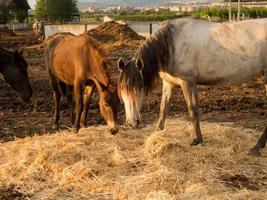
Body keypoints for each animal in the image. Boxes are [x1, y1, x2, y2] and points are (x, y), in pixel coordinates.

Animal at [118, 18, 267, 156]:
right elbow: (163, 109)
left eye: (139, 87)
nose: (132, 123)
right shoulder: (168, 84)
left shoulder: (187, 81)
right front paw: (157, 133)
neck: (171, 43)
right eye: (122, 90)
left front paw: (197, 139)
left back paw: (255, 148)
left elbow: (192, 109)